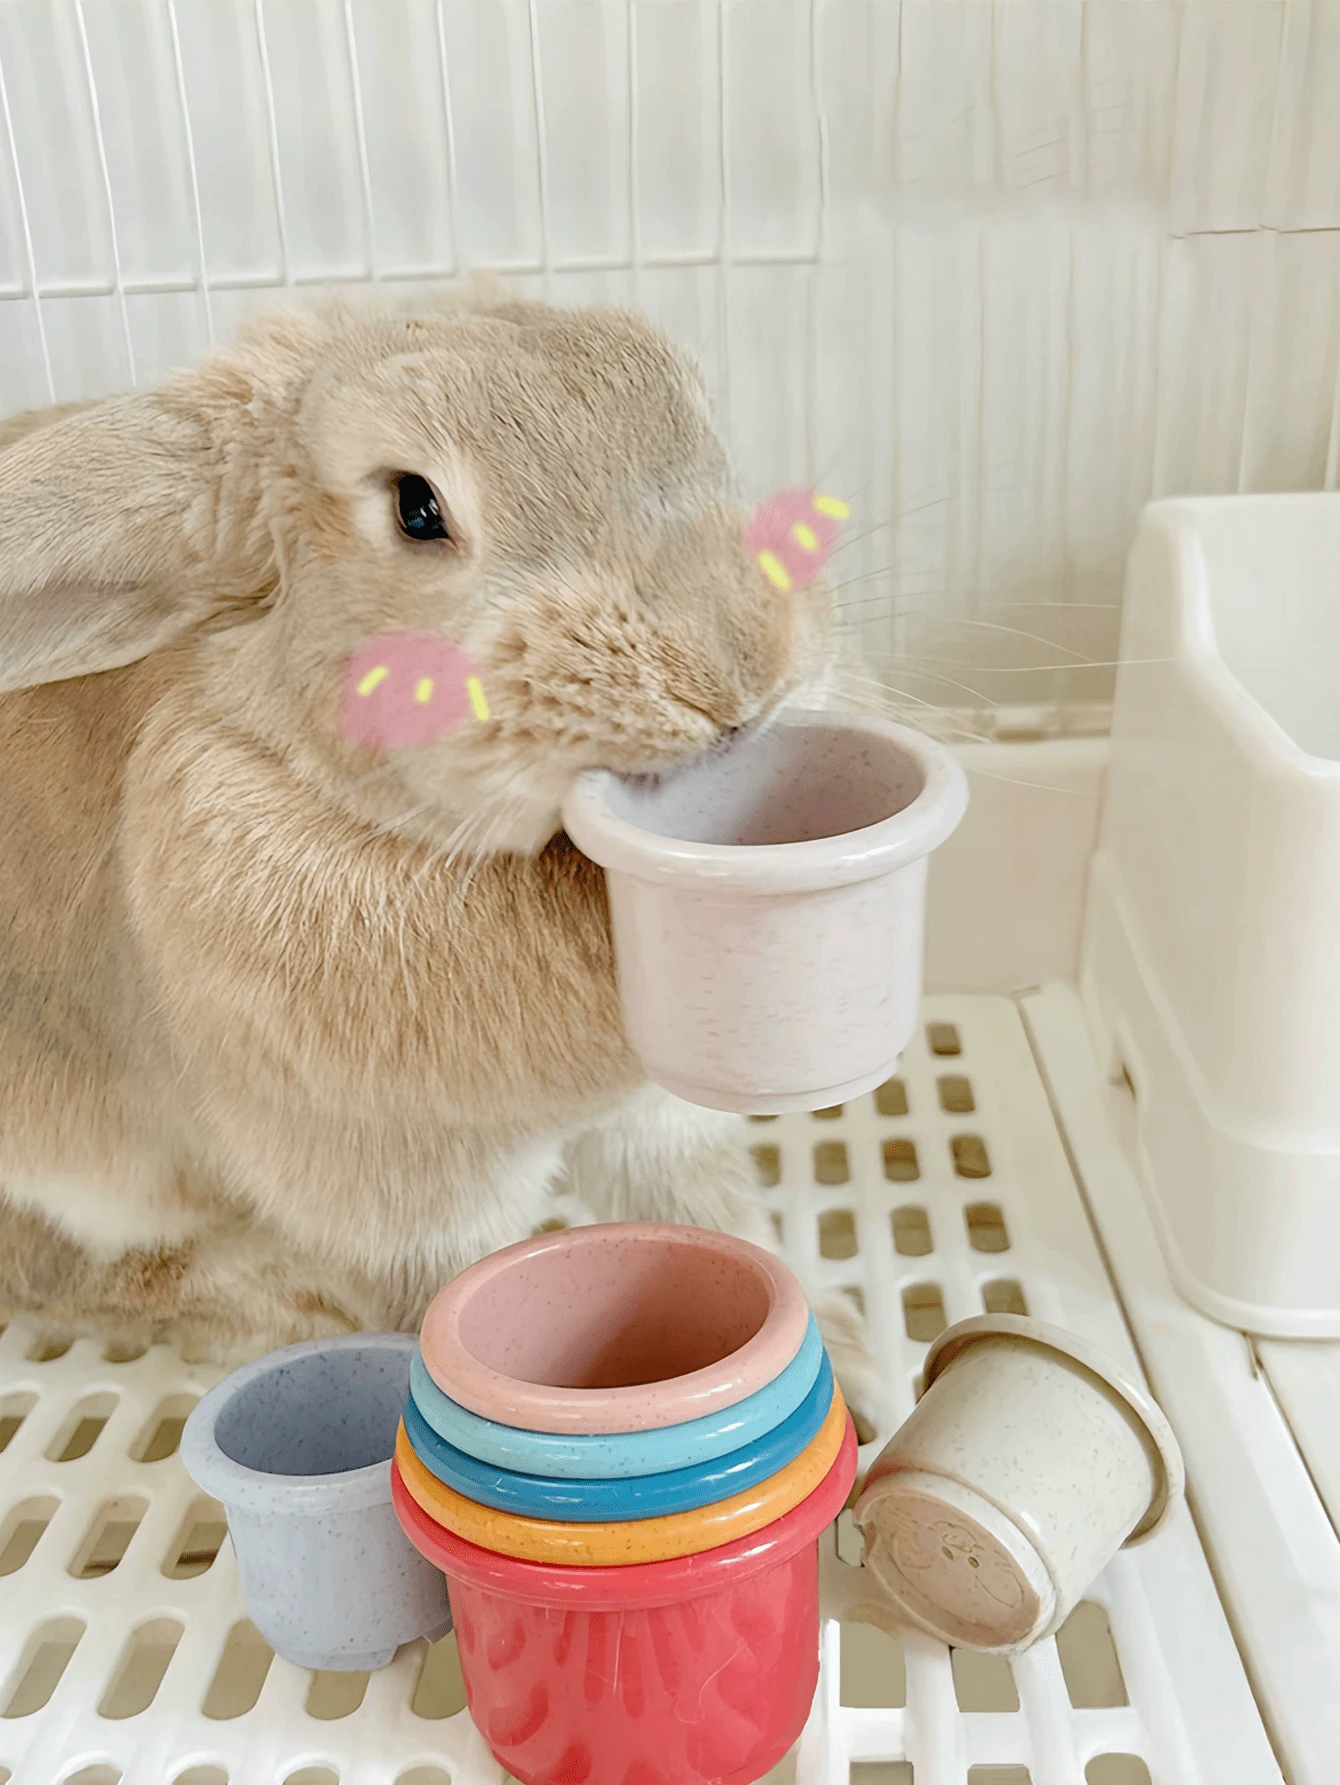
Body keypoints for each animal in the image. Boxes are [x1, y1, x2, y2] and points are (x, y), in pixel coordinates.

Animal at [0, 281, 879, 1426]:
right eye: (416, 506)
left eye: (686, 404)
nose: (741, 671)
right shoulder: (399, 1194)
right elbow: (445, 1299)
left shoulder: (660, 1123)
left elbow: (716, 1216)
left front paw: (857, 1368)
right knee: (71, 1275)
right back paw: (280, 1303)